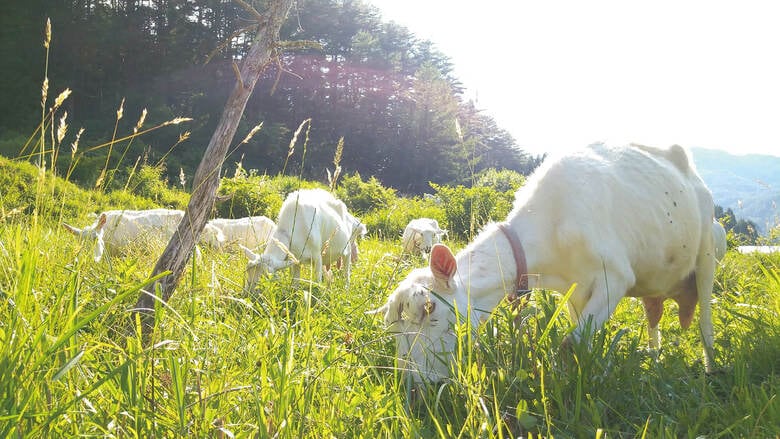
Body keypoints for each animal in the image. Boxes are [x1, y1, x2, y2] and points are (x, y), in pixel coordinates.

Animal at [374, 144, 720, 382]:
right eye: (393, 330)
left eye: (432, 315)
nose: (415, 390)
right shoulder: (574, 292)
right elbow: (583, 340)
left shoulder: (615, 277)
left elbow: (570, 344)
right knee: (653, 319)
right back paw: (654, 358)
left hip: (707, 252)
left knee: (705, 323)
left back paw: (711, 370)